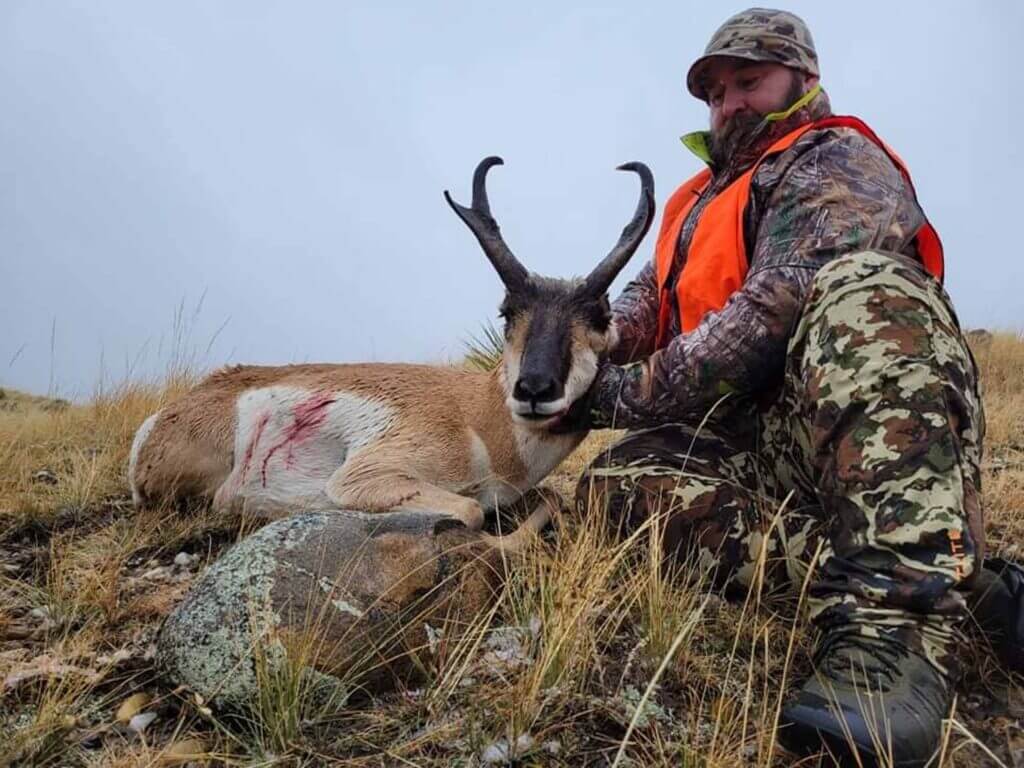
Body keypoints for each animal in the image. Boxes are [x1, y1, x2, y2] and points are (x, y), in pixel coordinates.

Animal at [129, 157, 654, 531]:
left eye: (601, 316)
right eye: (507, 312)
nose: (534, 389)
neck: (477, 416)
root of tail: (166, 415)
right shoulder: (366, 477)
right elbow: (470, 511)